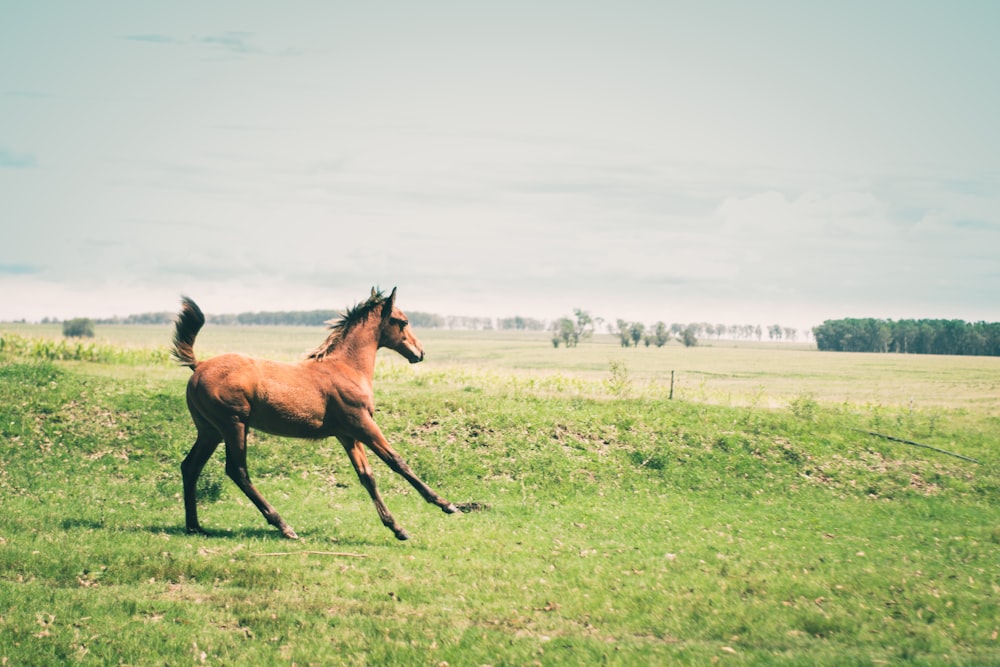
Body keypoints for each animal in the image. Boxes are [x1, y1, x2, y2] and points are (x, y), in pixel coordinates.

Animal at [172, 290, 458, 540]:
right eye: (404, 321)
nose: (420, 353)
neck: (346, 368)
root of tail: (198, 365)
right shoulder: (362, 424)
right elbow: (397, 461)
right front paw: (447, 504)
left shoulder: (347, 435)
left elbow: (367, 476)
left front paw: (397, 528)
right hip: (234, 425)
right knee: (237, 470)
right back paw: (284, 526)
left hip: (210, 431)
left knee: (191, 466)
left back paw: (195, 526)